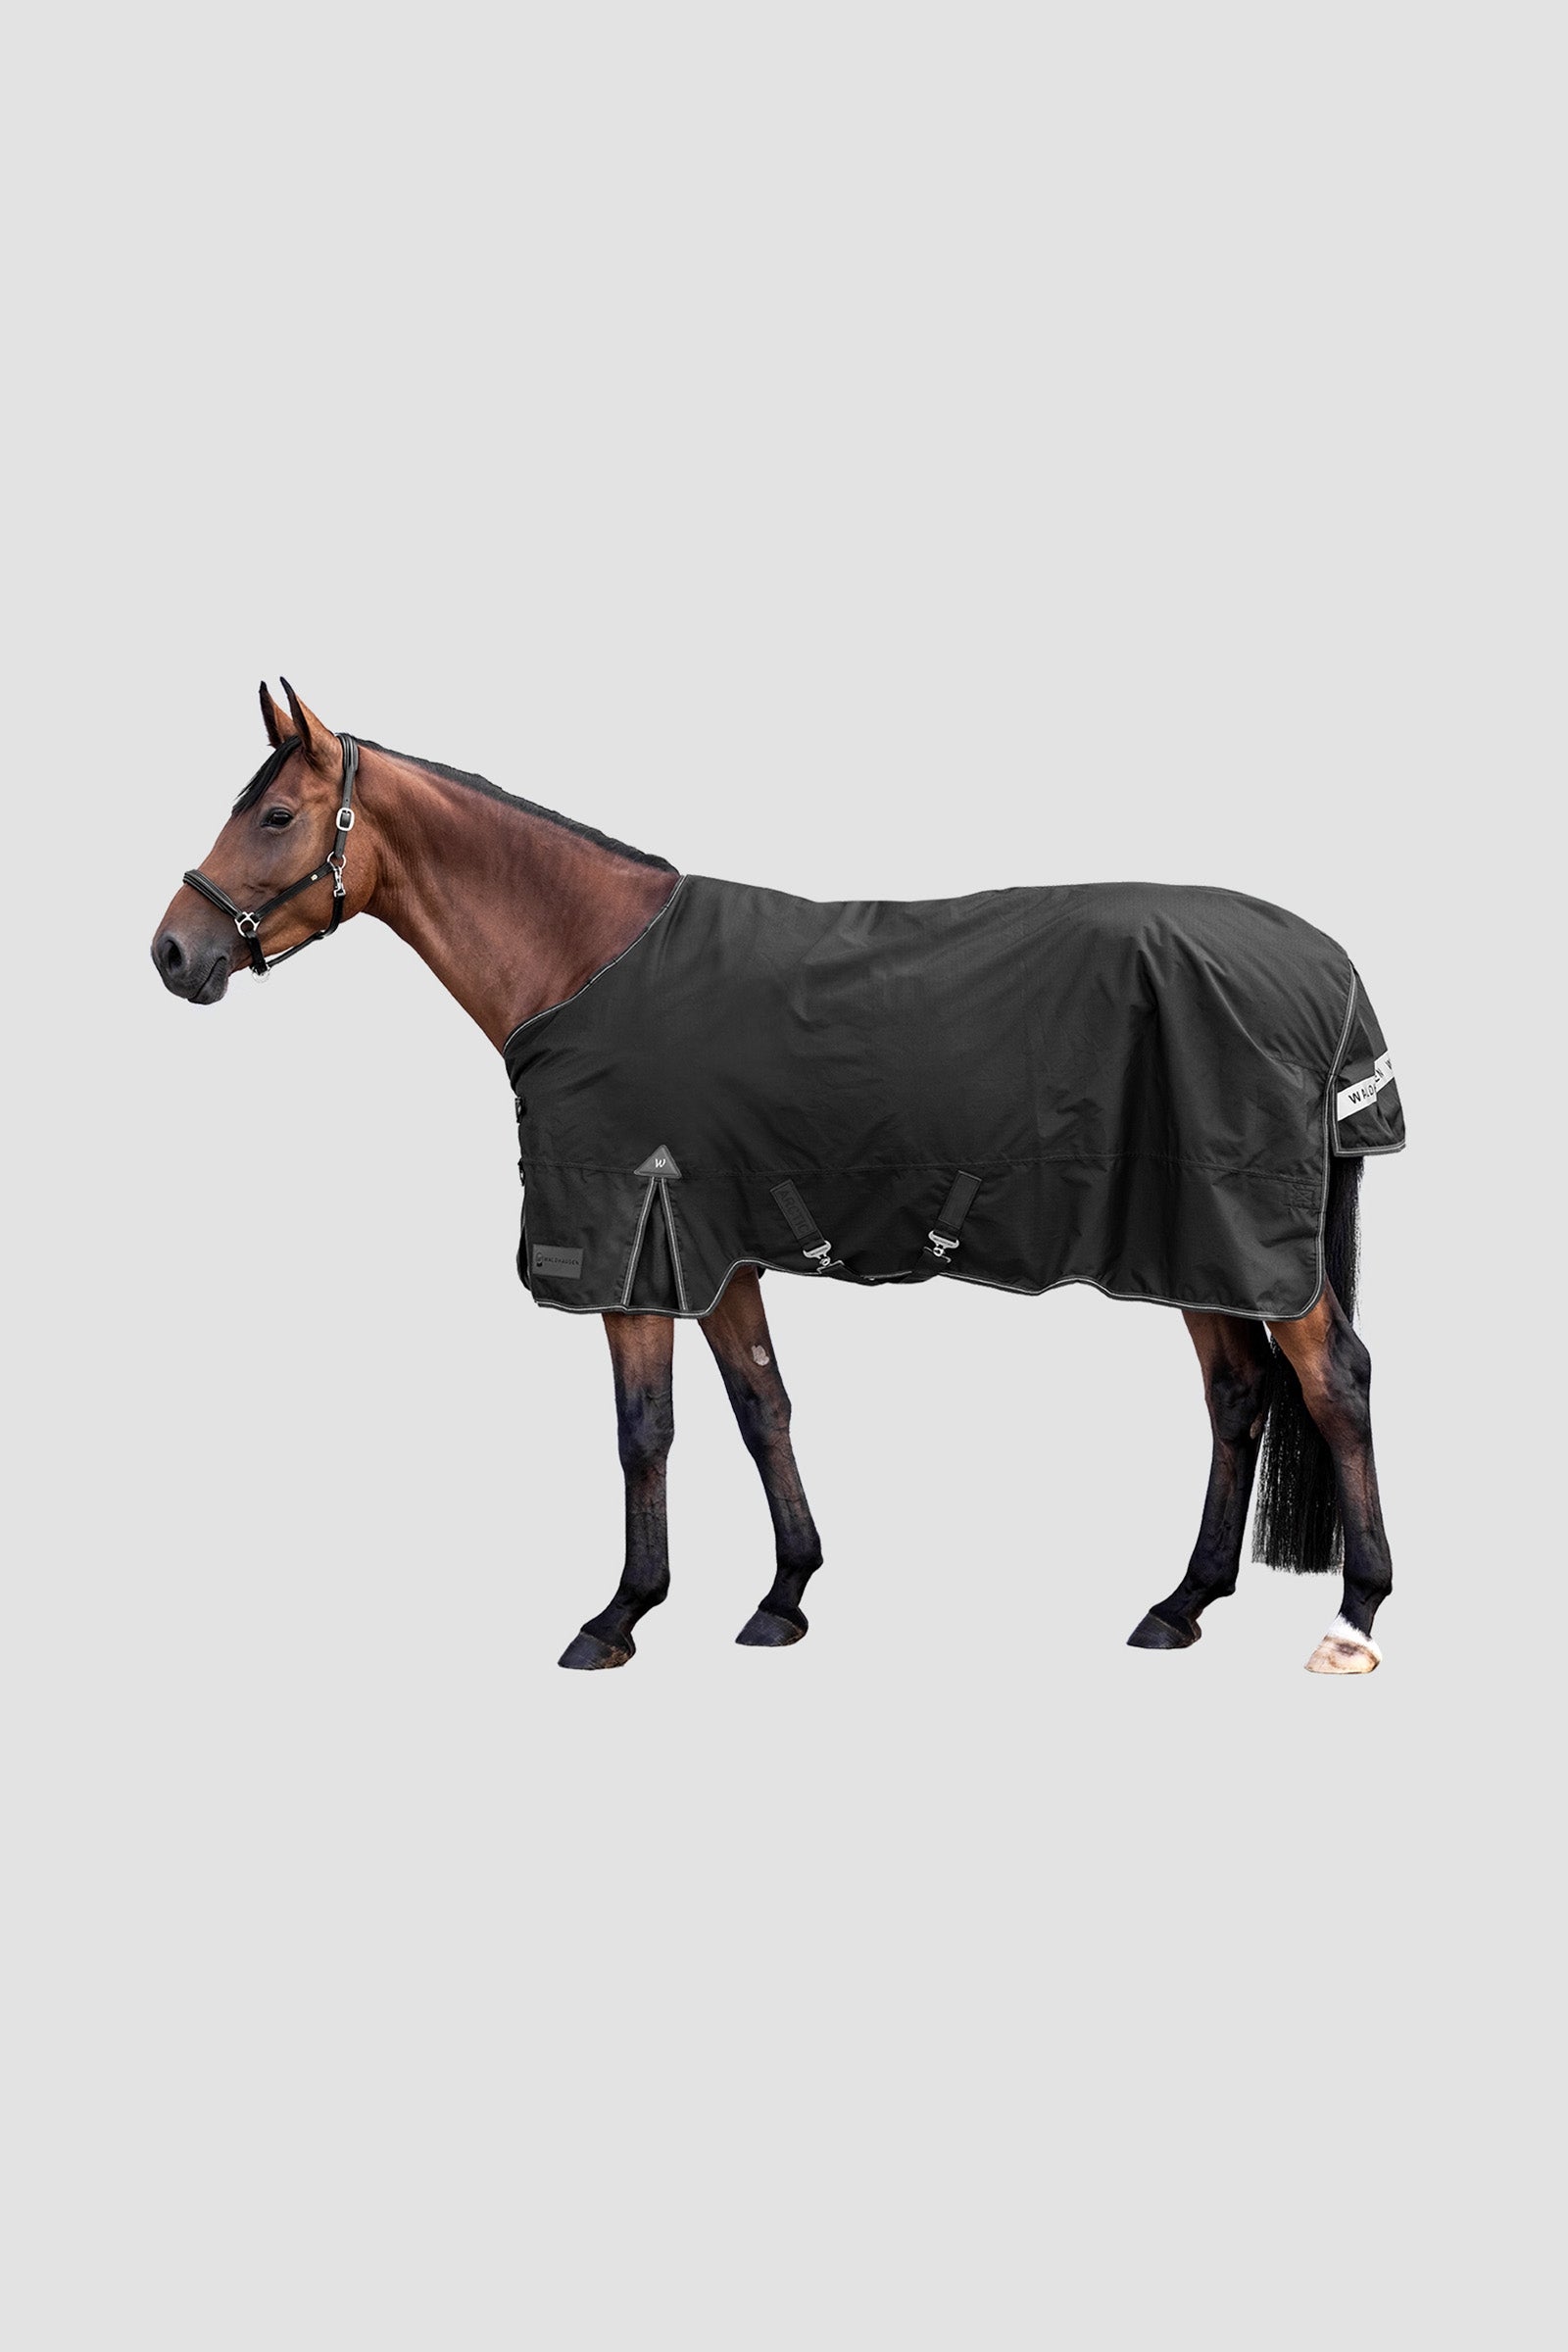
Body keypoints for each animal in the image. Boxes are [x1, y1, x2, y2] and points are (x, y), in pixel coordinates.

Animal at [152, 680, 1397, 1677]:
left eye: (273, 815)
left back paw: (1354, 1615)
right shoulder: (719, 1249)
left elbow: (644, 1431)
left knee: (1332, 1382)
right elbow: (762, 1406)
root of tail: (1324, 964)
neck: (584, 960)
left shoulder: (637, 1251)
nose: (171, 953)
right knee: (1236, 1395)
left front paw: (619, 1617)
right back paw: (1180, 1605)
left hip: (1240, 1238)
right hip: (1195, 1241)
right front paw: (784, 1596)